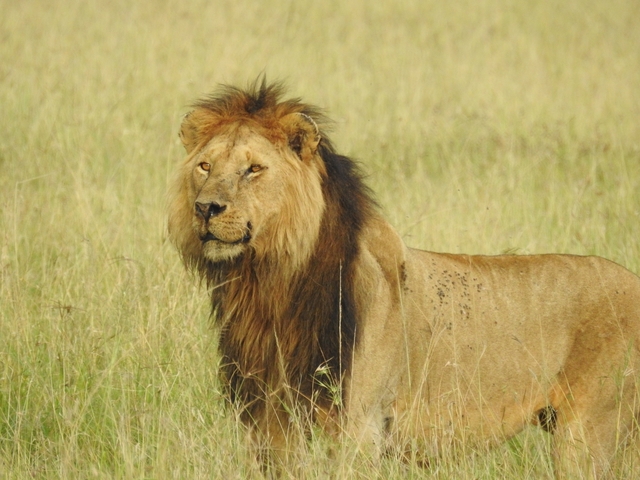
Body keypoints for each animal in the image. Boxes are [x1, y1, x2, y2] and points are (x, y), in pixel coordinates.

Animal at [168, 79, 640, 478]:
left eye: (254, 169)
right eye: (205, 166)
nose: (206, 208)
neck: (268, 285)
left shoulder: (359, 426)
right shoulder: (269, 421)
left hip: (589, 433)